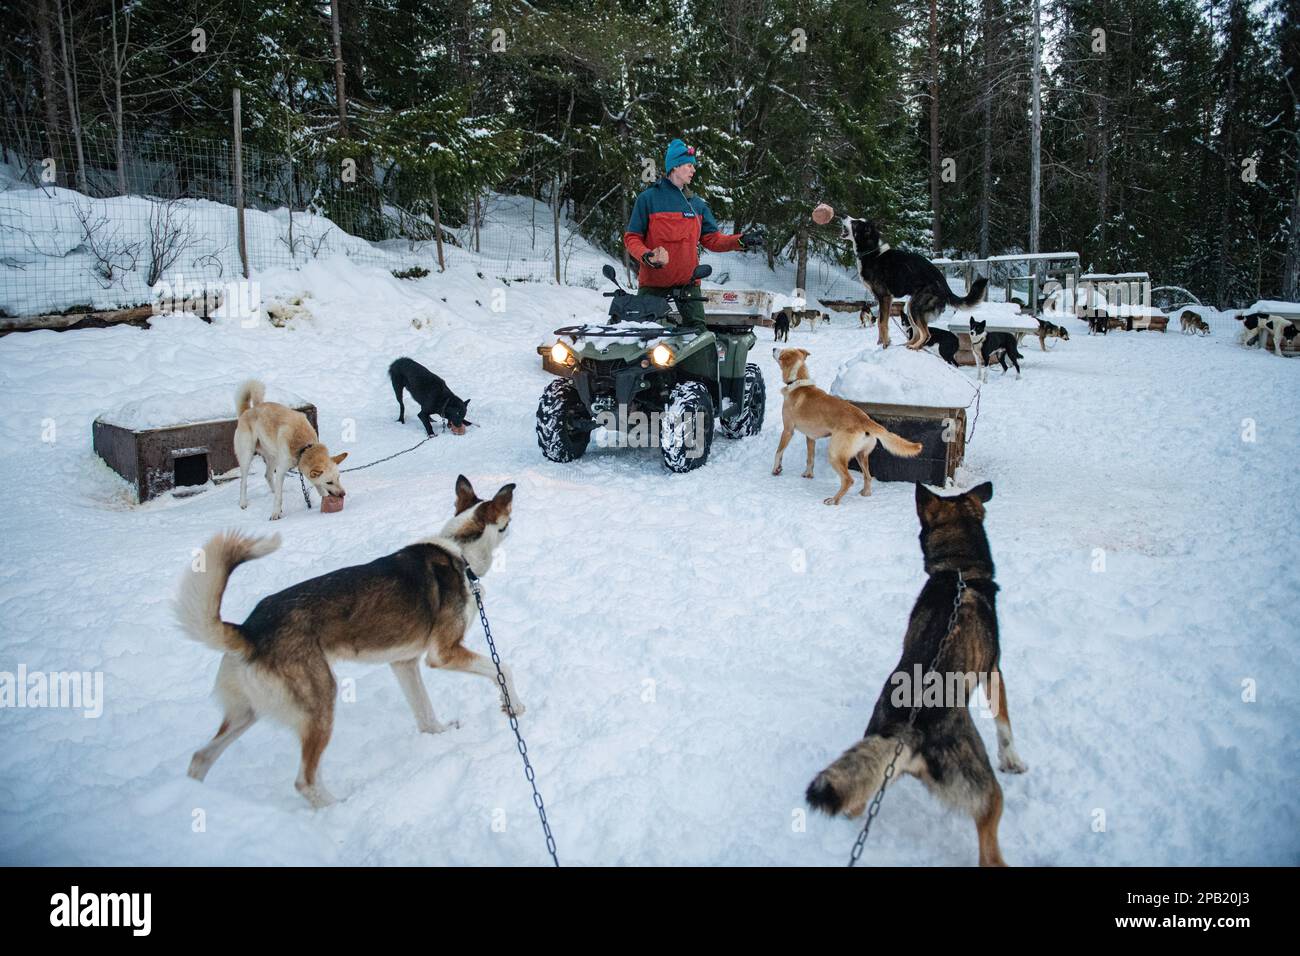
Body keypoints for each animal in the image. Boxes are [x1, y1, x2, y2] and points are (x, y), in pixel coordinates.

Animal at [179, 476, 522, 806]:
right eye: (507, 519)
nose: (516, 521)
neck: (460, 552)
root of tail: (249, 629)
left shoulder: (404, 662)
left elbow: (425, 714)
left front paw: (441, 734)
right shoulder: (443, 653)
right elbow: (502, 668)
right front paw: (514, 706)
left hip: (247, 713)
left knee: (199, 758)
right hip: (320, 700)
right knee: (305, 781)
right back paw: (339, 807)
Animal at [233, 379, 345, 520]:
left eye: (339, 478)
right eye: (329, 482)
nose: (343, 493)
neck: (305, 447)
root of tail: (247, 411)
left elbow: (317, 485)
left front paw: (324, 497)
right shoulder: (281, 470)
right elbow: (279, 498)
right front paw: (276, 513)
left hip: (273, 457)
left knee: (268, 475)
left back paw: (274, 490)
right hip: (247, 456)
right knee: (244, 481)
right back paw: (243, 502)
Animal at [769, 348, 925, 504]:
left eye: (782, 351)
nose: (773, 348)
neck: (798, 382)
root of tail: (864, 419)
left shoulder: (788, 430)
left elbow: (778, 452)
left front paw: (775, 470)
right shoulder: (811, 437)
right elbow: (810, 458)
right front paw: (808, 475)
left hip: (835, 454)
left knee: (848, 480)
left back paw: (833, 500)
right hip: (861, 455)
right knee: (867, 476)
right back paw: (865, 493)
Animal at [800, 481, 1024, 863]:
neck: (960, 572)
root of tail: (907, 731)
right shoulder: (994, 669)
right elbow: (1004, 722)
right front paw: (1012, 759)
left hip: (874, 774)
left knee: (854, 806)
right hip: (985, 792)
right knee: (989, 849)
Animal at [842, 217, 982, 351]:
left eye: (855, 223)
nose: (843, 215)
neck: (871, 253)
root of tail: (945, 286)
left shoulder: (884, 297)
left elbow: (882, 323)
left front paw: (885, 344)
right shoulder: (885, 300)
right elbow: (881, 322)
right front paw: (883, 342)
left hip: (915, 307)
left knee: (926, 334)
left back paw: (914, 346)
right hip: (911, 307)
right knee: (917, 333)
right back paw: (908, 344)